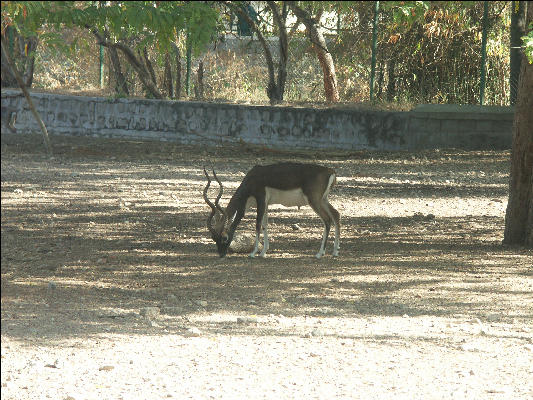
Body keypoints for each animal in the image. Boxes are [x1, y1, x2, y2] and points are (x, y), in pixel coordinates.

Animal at [202, 162, 338, 260]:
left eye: (224, 237)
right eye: (213, 238)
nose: (221, 254)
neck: (253, 177)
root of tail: (330, 171)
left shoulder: (261, 199)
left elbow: (257, 224)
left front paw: (253, 253)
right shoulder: (266, 204)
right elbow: (264, 225)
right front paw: (263, 252)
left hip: (314, 201)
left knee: (327, 219)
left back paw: (320, 253)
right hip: (323, 200)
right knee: (336, 214)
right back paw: (335, 252)